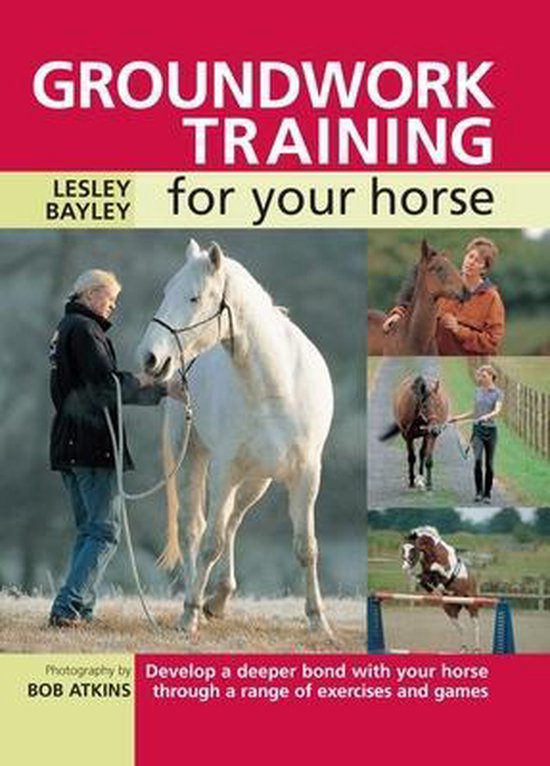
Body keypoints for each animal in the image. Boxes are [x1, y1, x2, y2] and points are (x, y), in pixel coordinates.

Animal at [137, 239, 334, 637]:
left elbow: (306, 547)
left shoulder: (307, 475)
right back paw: (198, 601)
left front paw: (318, 621)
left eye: (194, 297)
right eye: (166, 292)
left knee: (231, 522)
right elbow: (209, 543)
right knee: (194, 529)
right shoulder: (224, 470)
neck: (277, 386)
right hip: (194, 460)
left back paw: (219, 597)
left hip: (256, 480)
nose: (150, 357)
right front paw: (189, 614)